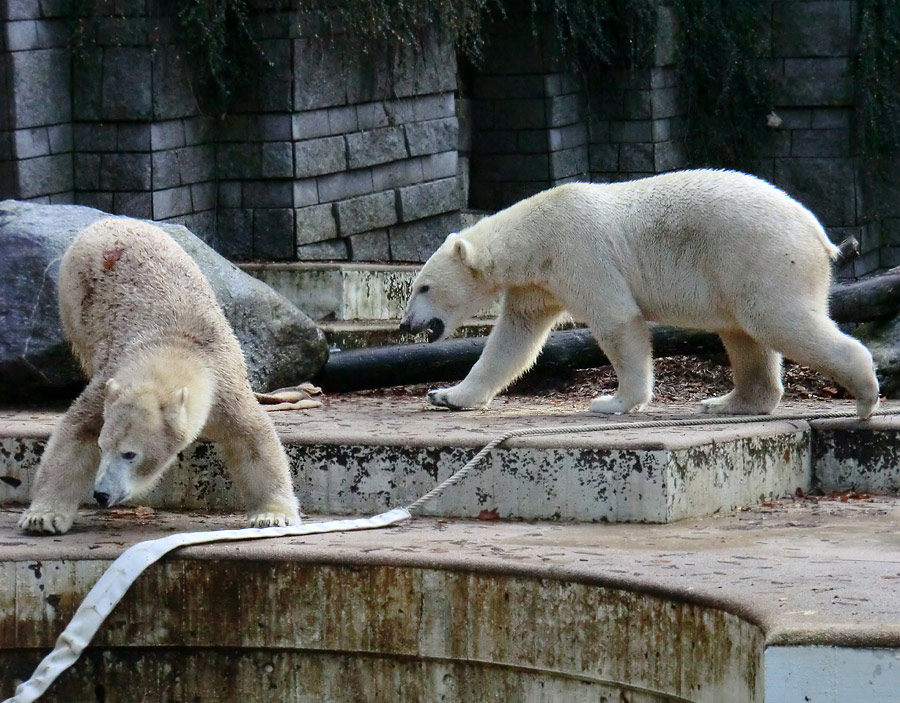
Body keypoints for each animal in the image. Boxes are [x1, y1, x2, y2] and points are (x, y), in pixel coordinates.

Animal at [19, 220, 300, 532]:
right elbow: (75, 434)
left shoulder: (225, 389)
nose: (101, 494)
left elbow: (252, 439)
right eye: (103, 447)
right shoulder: (107, 385)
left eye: (130, 454)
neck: (174, 345)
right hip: (74, 295)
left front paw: (272, 515)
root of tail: (105, 222)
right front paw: (41, 516)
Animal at [400, 171, 880, 420]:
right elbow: (512, 341)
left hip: (761, 256)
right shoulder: (535, 284)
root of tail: (817, 233)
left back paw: (865, 395)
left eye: (423, 286)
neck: (535, 235)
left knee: (777, 321)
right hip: (738, 271)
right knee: (744, 335)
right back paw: (726, 402)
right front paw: (446, 395)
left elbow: (616, 319)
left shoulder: (579, 253)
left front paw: (611, 402)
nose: (407, 323)